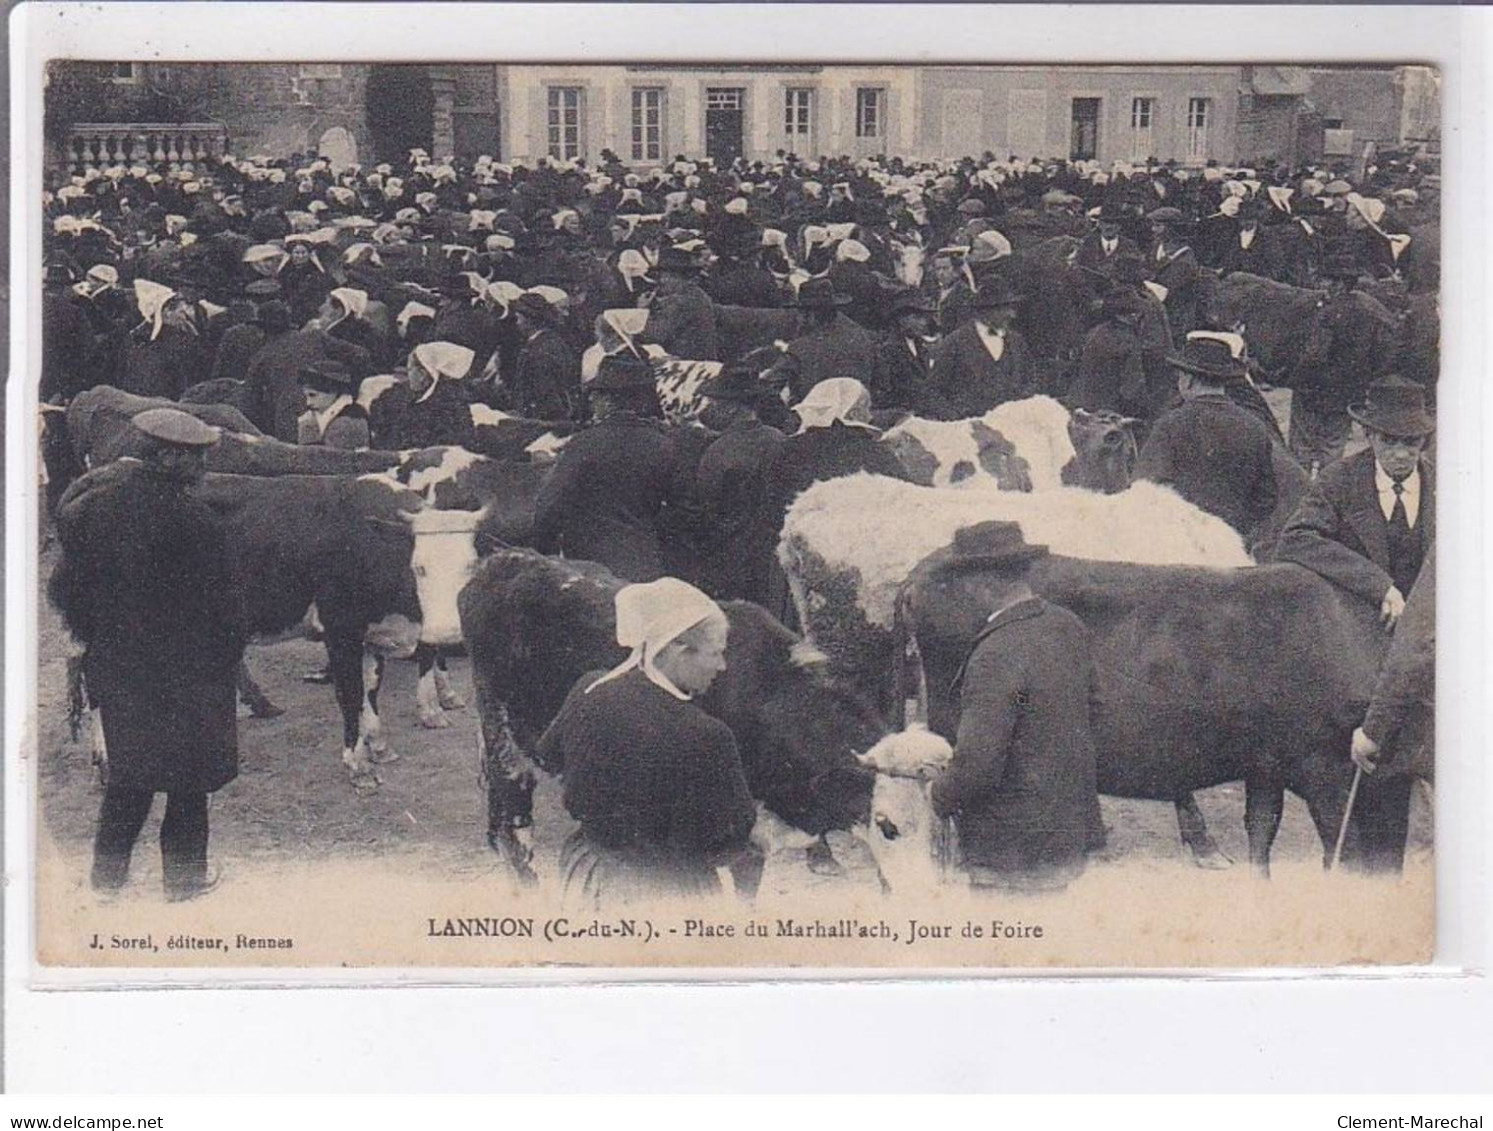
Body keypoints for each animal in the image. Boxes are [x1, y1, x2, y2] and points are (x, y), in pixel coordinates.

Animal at [456, 549, 943, 883]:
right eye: (887, 826)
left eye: (937, 828)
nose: (921, 892)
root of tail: (503, 561)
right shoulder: (733, 839)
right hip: (502, 734)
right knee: (513, 824)